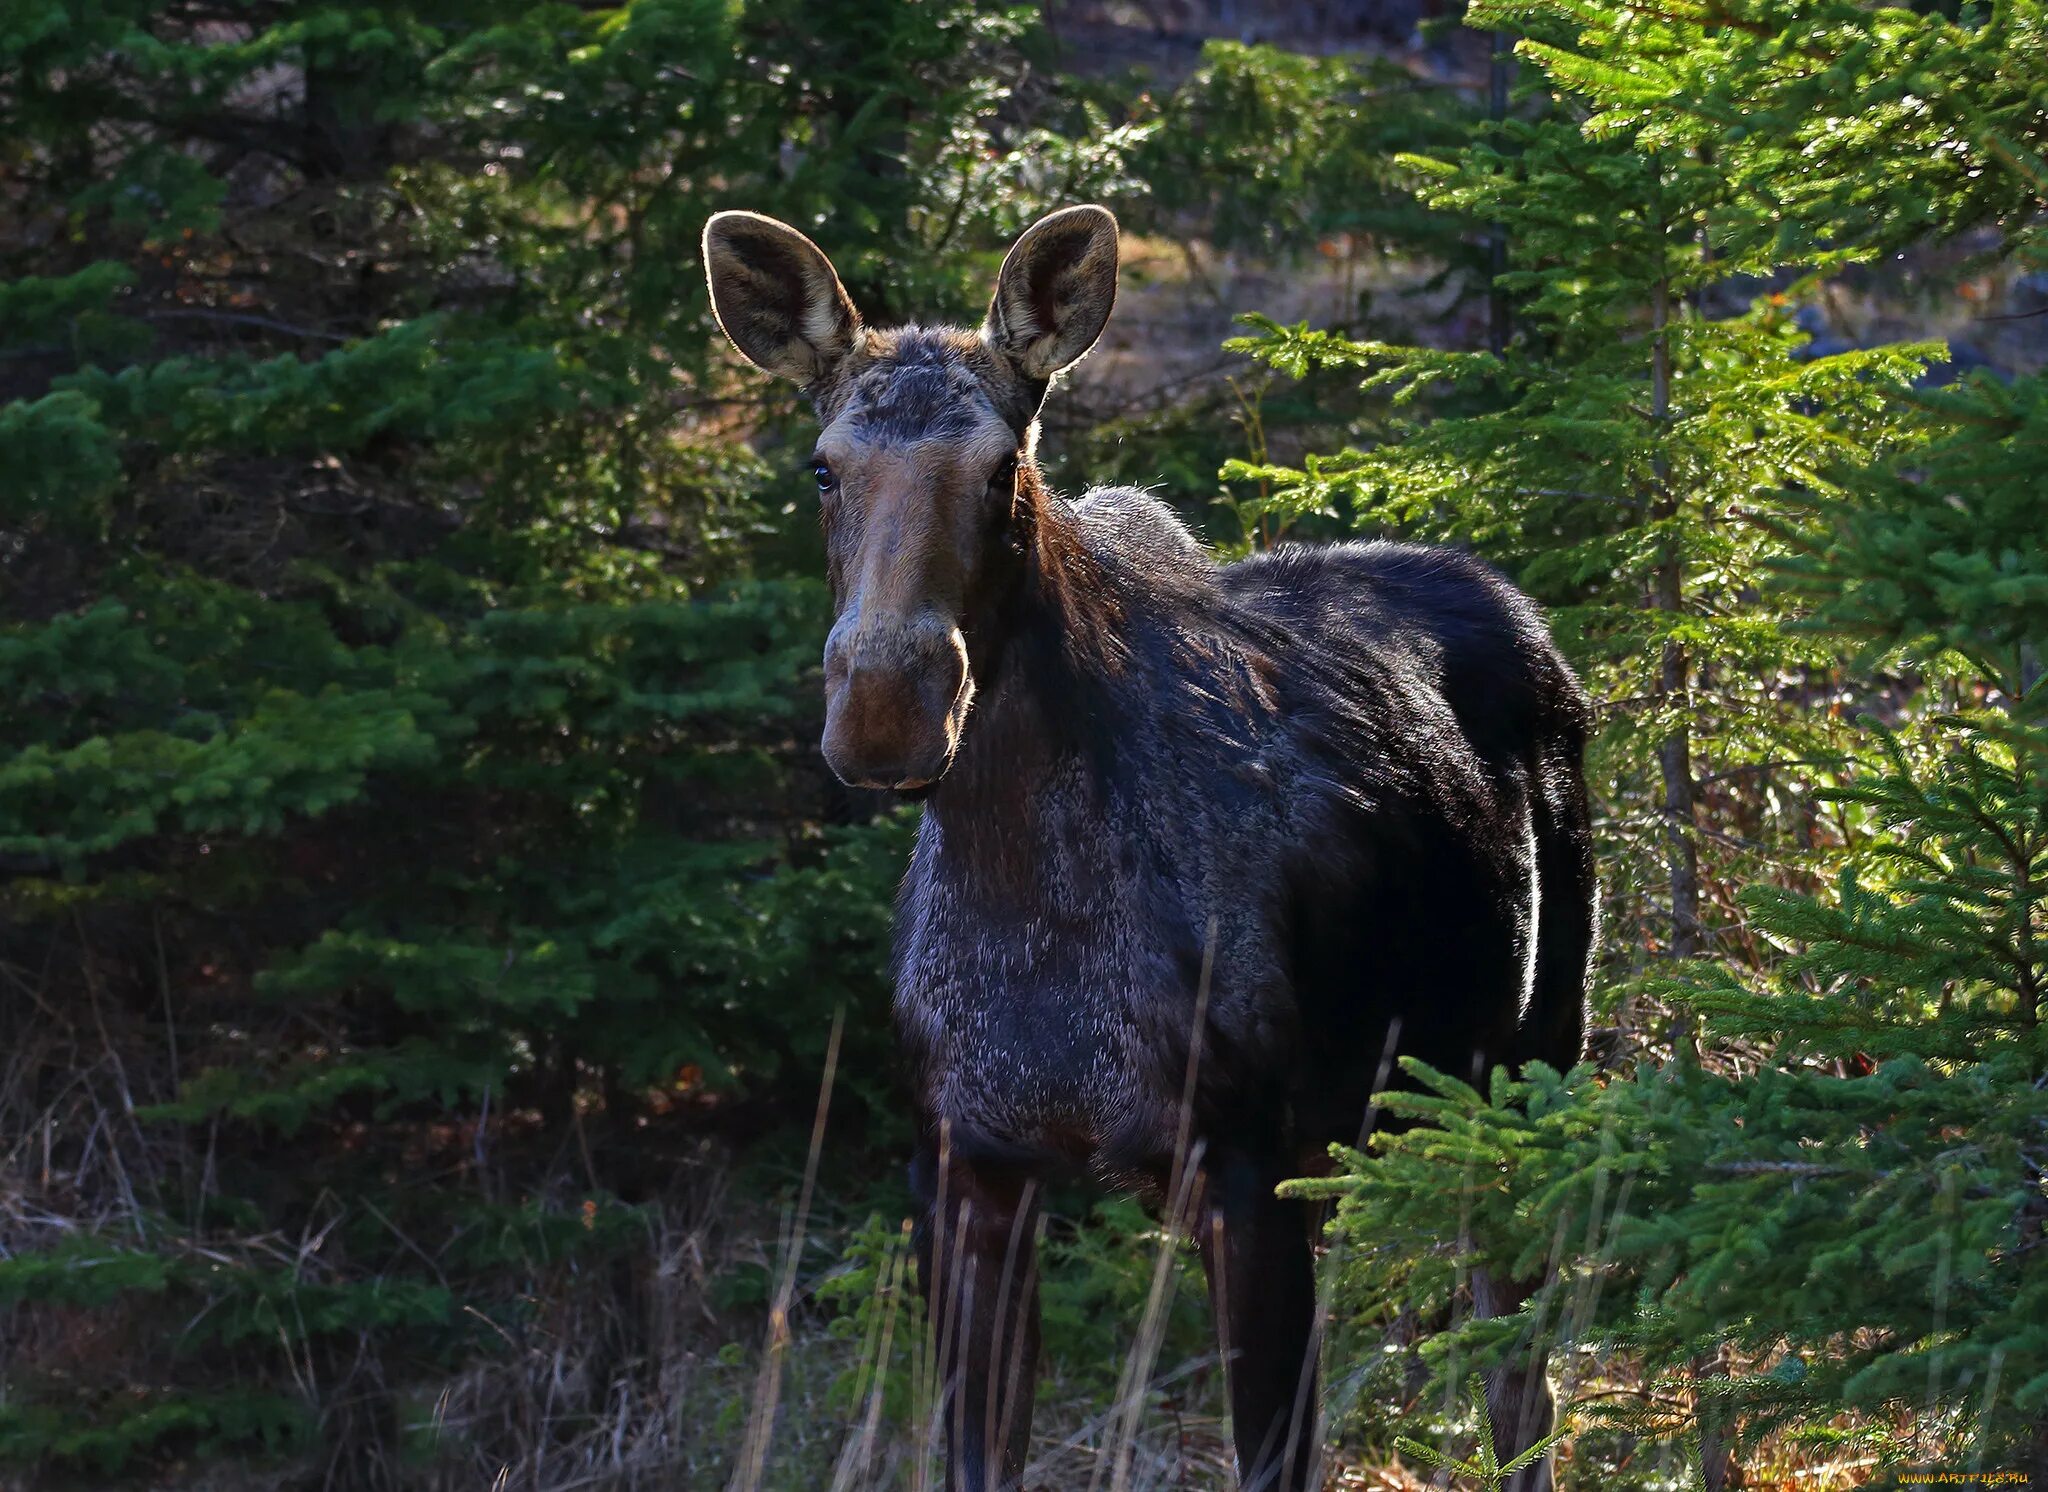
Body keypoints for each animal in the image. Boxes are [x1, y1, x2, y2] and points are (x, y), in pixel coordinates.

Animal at [704, 206, 1597, 1489]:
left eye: (1004, 469)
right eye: (822, 467)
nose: (883, 709)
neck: (1023, 896)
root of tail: (1524, 611)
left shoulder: (1239, 1165)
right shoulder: (965, 1170)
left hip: (1525, 1061)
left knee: (1520, 1383)